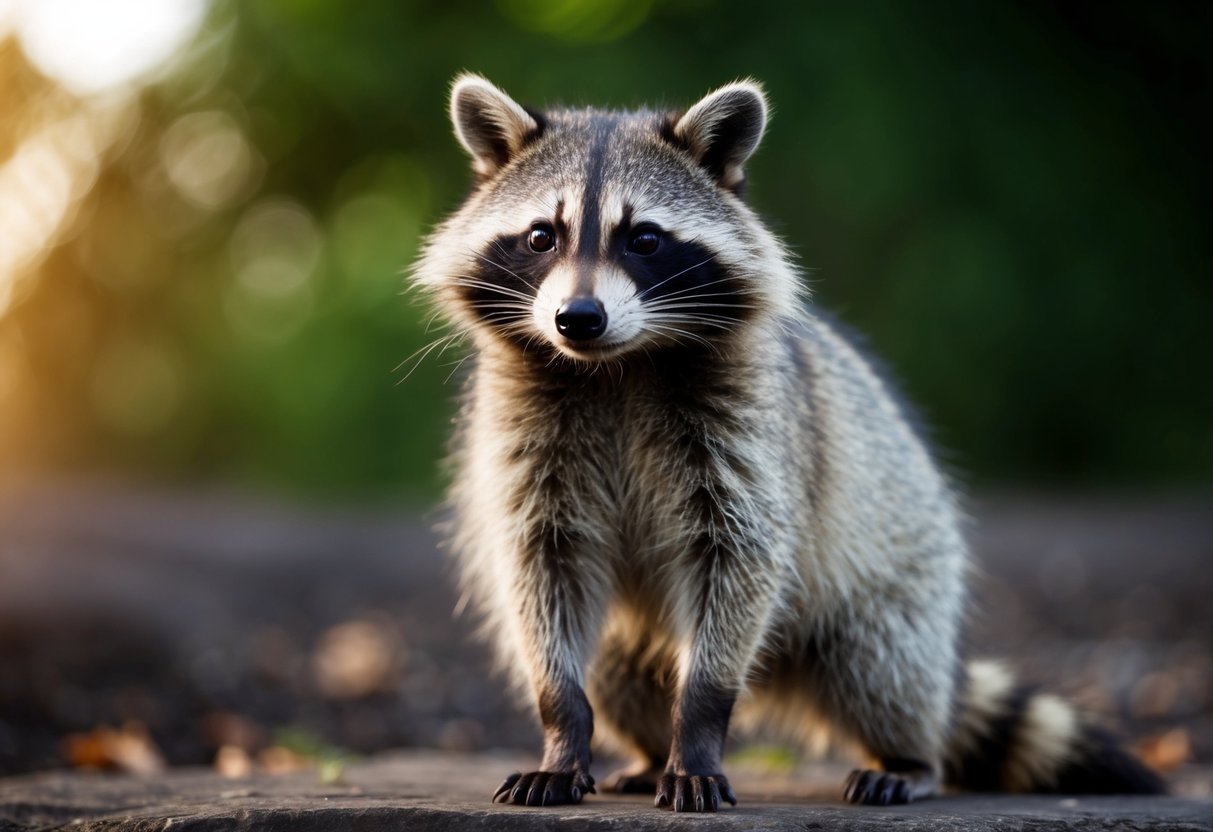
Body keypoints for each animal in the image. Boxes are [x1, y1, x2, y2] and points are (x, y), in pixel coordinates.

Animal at [413, 74, 1166, 812]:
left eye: (645, 239)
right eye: (542, 235)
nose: (578, 318)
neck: (615, 365)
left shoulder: (747, 432)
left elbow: (739, 556)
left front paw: (700, 723)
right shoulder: (526, 433)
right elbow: (542, 571)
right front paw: (562, 732)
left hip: (897, 578)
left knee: (882, 664)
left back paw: (905, 755)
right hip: (636, 629)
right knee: (614, 669)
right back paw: (649, 751)